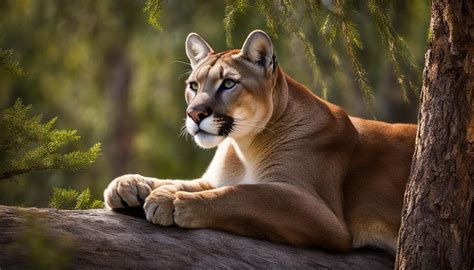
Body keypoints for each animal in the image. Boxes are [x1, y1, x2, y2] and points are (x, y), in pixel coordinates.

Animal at [103, 30, 414, 253]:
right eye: (193, 85)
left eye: (228, 83)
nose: (194, 113)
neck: (244, 146)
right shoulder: (215, 178)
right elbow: (182, 181)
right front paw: (128, 185)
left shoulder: (323, 215)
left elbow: (242, 195)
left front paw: (170, 200)